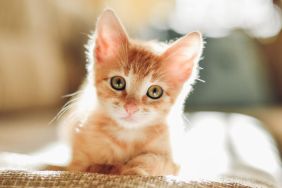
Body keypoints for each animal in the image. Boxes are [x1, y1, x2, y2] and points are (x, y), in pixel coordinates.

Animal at [62, 9, 203, 176]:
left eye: (155, 91)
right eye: (118, 82)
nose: (131, 107)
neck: (127, 136)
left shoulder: (174, 162)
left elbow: (155, 160)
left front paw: (134, 168)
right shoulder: (76, 164)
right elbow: (91, 166)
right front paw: (112, 167)